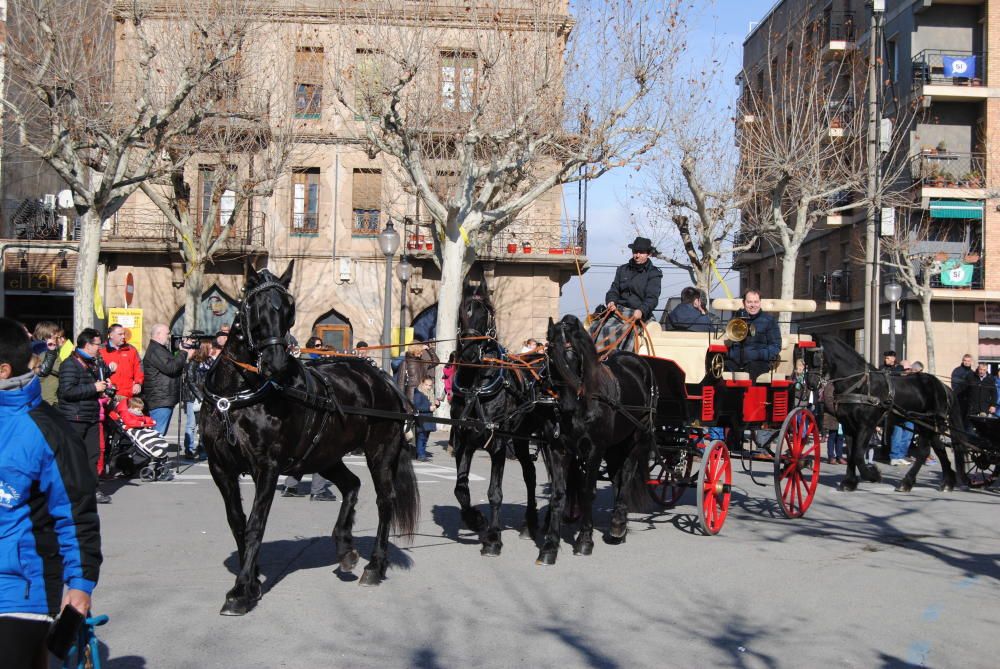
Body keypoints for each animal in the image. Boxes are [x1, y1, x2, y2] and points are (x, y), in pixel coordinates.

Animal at [201, 262, 420, 616]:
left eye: (289, 309)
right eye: (255, 307)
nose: (276, 363)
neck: (236, 396)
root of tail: (383, 380)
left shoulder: (267, 466)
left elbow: (256, 523)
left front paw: (241, 590)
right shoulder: (220, 467)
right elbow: (237, 521)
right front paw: (253, 580)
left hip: (380, 452)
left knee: (384, 500)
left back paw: (375, 565)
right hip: (325, 454)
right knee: (351, 485)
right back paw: (344, 547)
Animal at [452, 290, 560, 556]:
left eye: (486, 314)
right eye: (461, 312)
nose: (469, 354)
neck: (476, 385)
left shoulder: (497, 443)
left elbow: (495, 493)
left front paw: (492, 538)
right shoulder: (463, 439)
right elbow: (461, 487)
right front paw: (475, 520)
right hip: (521, 440)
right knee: (530, 475)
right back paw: (529, 524)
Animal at [548, 314, 656, 560]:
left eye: (576, 355)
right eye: (550, 356)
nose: (566, 405)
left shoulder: (595, 450)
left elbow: (588, 491)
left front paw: (585, 540)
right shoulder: (560, 449)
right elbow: (559, 492)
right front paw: (550, 544)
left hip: (635, 439)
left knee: (626, 475)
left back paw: (618, 524)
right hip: (615, 446)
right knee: (617, 477)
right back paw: (618, 526)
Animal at [816, 334, 964, 490]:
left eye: (814, 356)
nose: (811, 383)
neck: (860, 385)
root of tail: (943, 386)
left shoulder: (866, 425)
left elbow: (857, 455)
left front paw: (873, 475)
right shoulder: (848, 425)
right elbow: (851, 454)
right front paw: (849, 482)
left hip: (929, 423)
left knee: (927, 450)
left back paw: (914, 482)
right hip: (926, 425)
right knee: (936, 449)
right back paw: (943, 481)